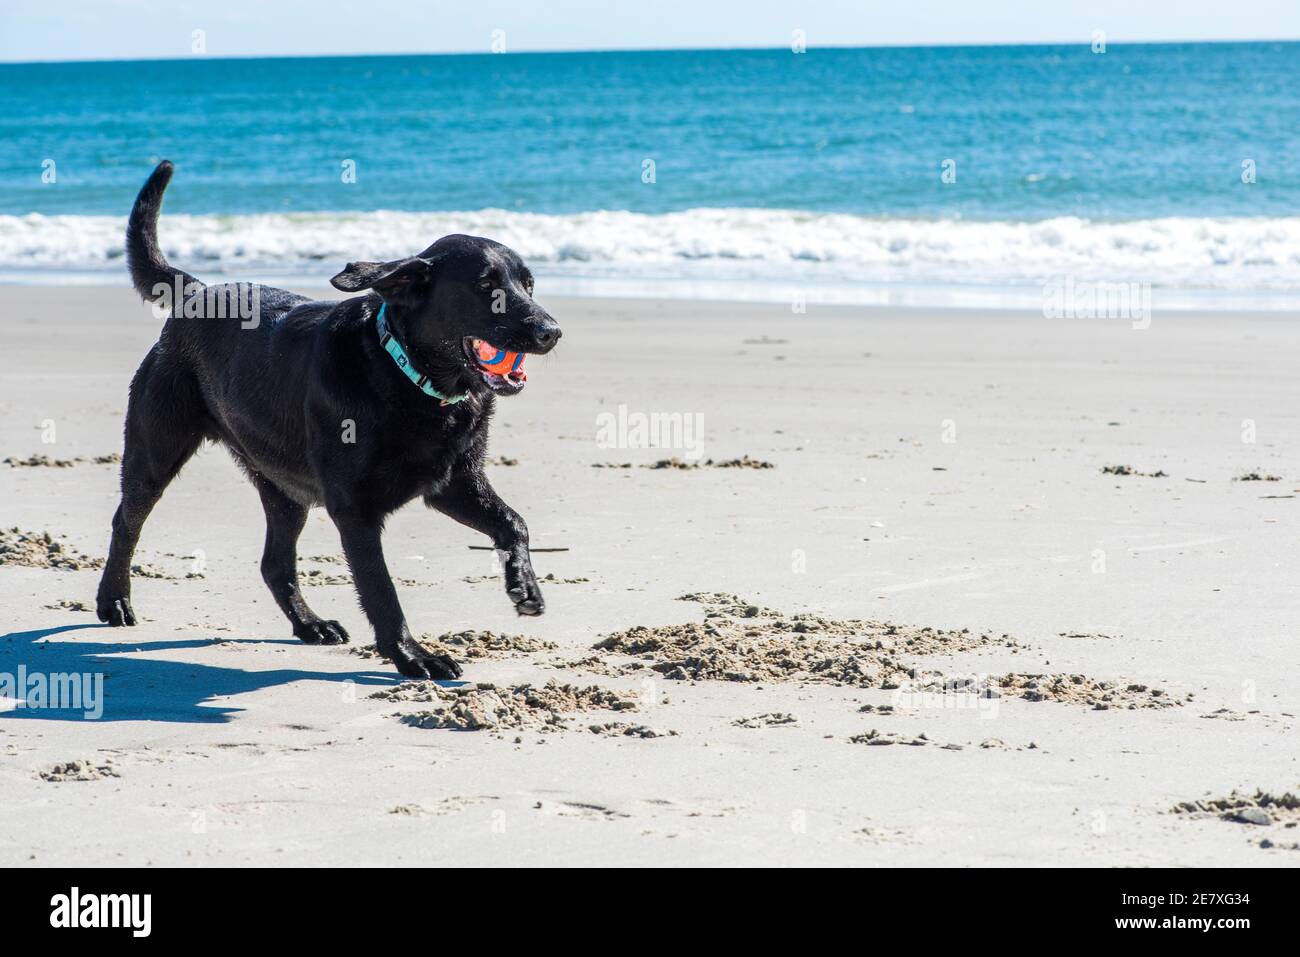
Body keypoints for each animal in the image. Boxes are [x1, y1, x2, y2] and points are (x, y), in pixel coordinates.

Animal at [91, 160, 559, 676]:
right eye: (485, 287)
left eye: (528, 284)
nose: (551, 331)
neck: (405, 375)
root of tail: (196, 292)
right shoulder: (355, 510)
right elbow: (381, 589)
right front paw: (413, 656)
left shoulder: (454, 483)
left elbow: (514, 522)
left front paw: (525, 587)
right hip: (155, 452)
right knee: (125, 522)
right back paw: (114, 602)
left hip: (284, 489)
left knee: (274, 563)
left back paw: (310, 624)